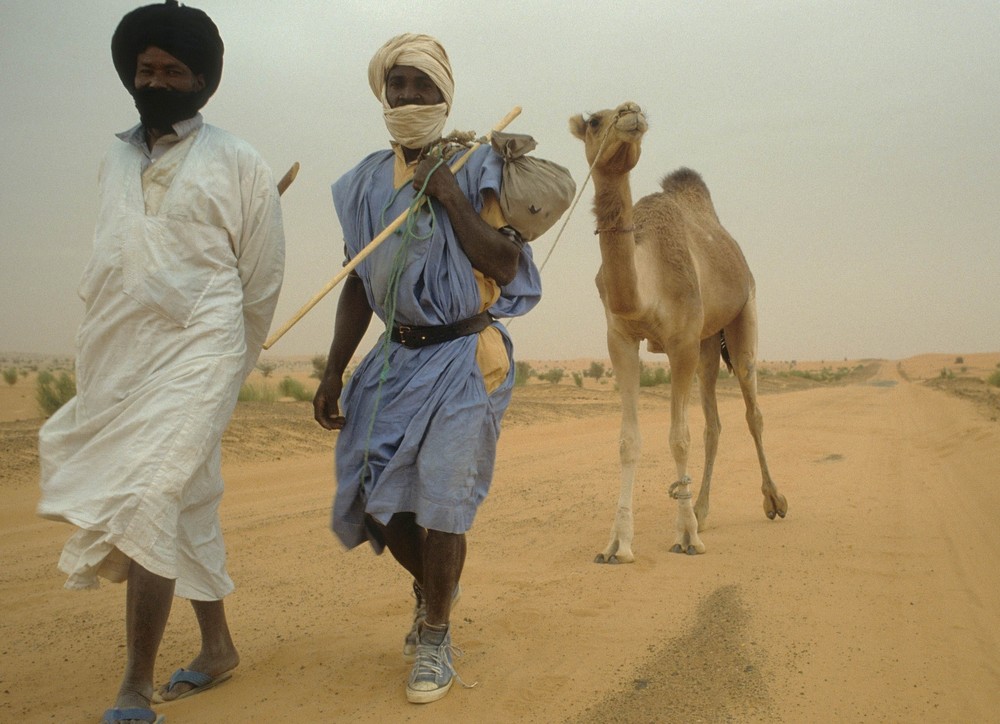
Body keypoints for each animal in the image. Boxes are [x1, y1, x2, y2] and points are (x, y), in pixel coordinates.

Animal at [572, 103, 788, 564]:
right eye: (595, 120)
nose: (631, 111)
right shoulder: (620, 339)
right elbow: (629, 440)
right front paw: (617, 544)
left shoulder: (681, 342)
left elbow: (679, 438)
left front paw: (686, 537)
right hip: (707, 343)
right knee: (714, 423)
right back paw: (703, 510)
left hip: (743, 313)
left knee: (752, 410)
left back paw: (773, 501)